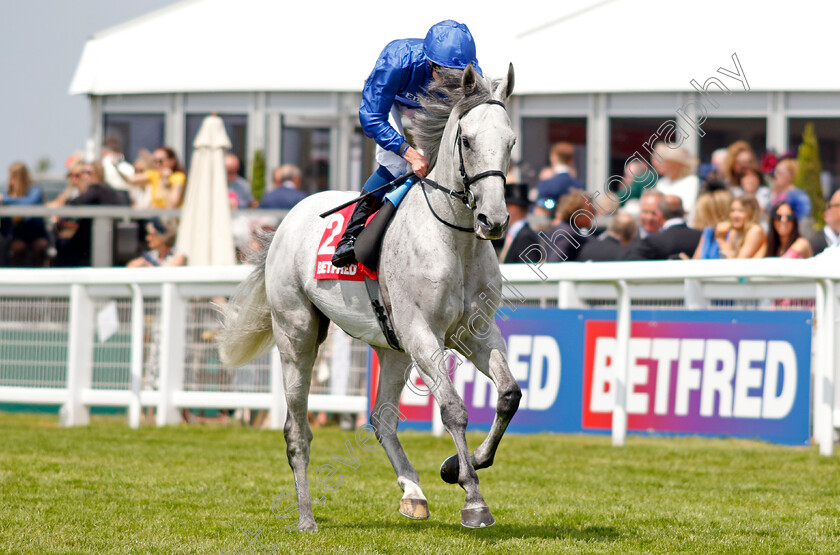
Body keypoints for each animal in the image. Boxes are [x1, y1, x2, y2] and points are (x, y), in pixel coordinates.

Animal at [218, 63, 520, 532]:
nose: (495, 220)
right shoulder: (423, 334)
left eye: (510, 142)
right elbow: (453, 408)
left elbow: (508, 394)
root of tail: (288, 219)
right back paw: (306, 517)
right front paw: (473, 498)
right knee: (297, 431)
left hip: (393, 348)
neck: (453, 240)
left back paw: (413, 492)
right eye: (467, 141)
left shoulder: (476, 333)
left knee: (382, 417)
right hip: (298, 335)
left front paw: (456, 465)